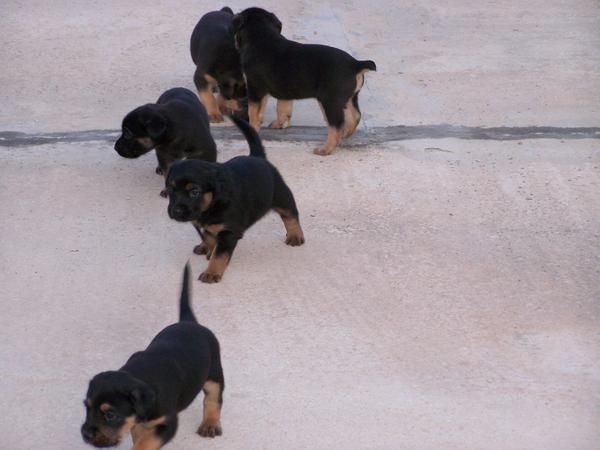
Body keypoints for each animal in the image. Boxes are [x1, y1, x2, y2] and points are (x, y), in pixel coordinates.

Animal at [82, 266, 225, 448]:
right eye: (86, 408)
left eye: (110, 415)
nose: (85, 435)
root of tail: (189, 322)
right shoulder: (138, 422)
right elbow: (139, 435)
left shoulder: (167, 423)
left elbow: (146, 442)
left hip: (214, 374)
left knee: (213, 398)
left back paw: (210, 424)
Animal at [166, 114, 304, 284]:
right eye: (171, 190)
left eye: (194, 192)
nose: (176, 211)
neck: (212, 203)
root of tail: (257, 157)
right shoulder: (209, 226)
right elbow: (208, 236)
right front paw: (206, 247)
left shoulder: (228, 232)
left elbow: (219, 255)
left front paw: (211, 273)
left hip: (281, 194)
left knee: (290, 214)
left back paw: (295, 235)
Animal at [230, 5, 376, 155]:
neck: (262, 36)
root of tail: (356, 64)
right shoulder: (280, 91)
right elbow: (281, 108)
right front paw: (279, 124)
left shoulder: (254, 88)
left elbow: (253, 112)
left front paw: (252, 128)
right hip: (349, 98)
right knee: (355, 116)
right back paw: (345, 135)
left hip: (330, 101)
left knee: (336, 125)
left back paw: (326, 148)